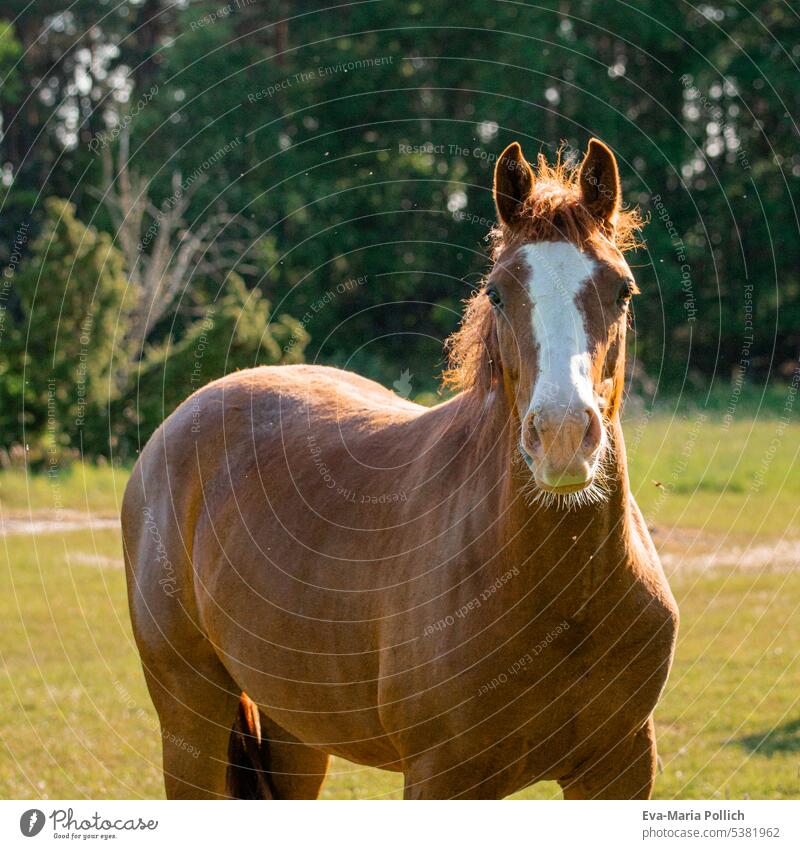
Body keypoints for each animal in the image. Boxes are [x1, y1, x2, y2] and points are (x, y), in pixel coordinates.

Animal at [122, 137, 680, 796]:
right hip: (191, 721)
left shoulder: (621, 766)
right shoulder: (443, 777)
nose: (563, 437)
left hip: (296, 731)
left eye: (623, 289)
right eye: (497, 292)